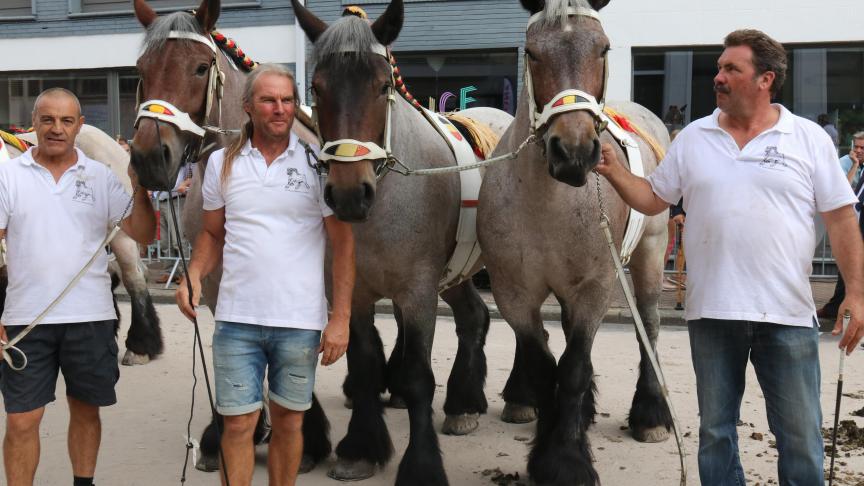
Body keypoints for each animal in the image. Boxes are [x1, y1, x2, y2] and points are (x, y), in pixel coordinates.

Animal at [480, 0, 676, 484]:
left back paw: (650, 413)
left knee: (649, 325)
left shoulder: (595, 288)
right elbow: (545, 364)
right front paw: (554, 440)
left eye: (602, 48)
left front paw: (565, 459)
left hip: (649, 255)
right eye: (533, 53)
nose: (573, 153)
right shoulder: (513, 292)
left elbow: (571, 369)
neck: (550, 203)